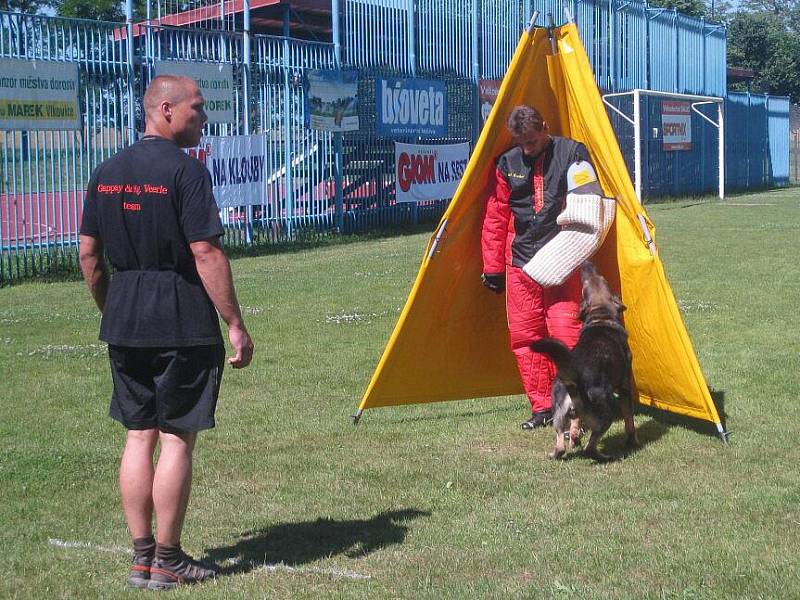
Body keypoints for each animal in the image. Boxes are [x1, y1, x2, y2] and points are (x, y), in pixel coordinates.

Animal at [532, 262, 636, 460]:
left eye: (598, 279)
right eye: (604, 279)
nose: (587, 264)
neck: (601, 317)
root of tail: (575, 382)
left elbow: (575, 428)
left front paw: (574, 439)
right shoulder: (625, 387)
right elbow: (629, 420)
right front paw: (632, 441)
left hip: (558, 415)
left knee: (561, 445)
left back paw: (556, 452)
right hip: (606, 413)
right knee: (590, 447)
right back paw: (604, 457)